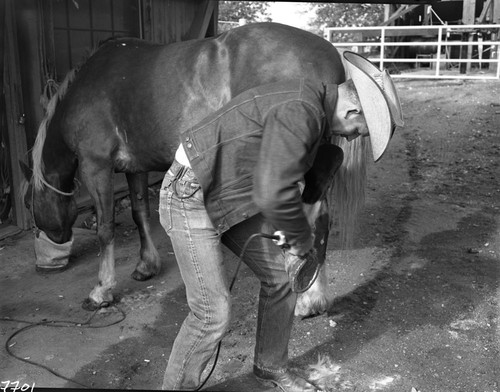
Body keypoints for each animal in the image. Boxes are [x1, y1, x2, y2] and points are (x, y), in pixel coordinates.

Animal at [27, 21, 368, 316]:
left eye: (32, 204)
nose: (54, 241)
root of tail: (330, 54)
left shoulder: (95, 166)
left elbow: (105, 228)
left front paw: (101, 290)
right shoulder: (135, 167)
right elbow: (139, 213)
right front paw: (146, 266)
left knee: (313, 220)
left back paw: (308, 300)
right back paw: (315, 297)